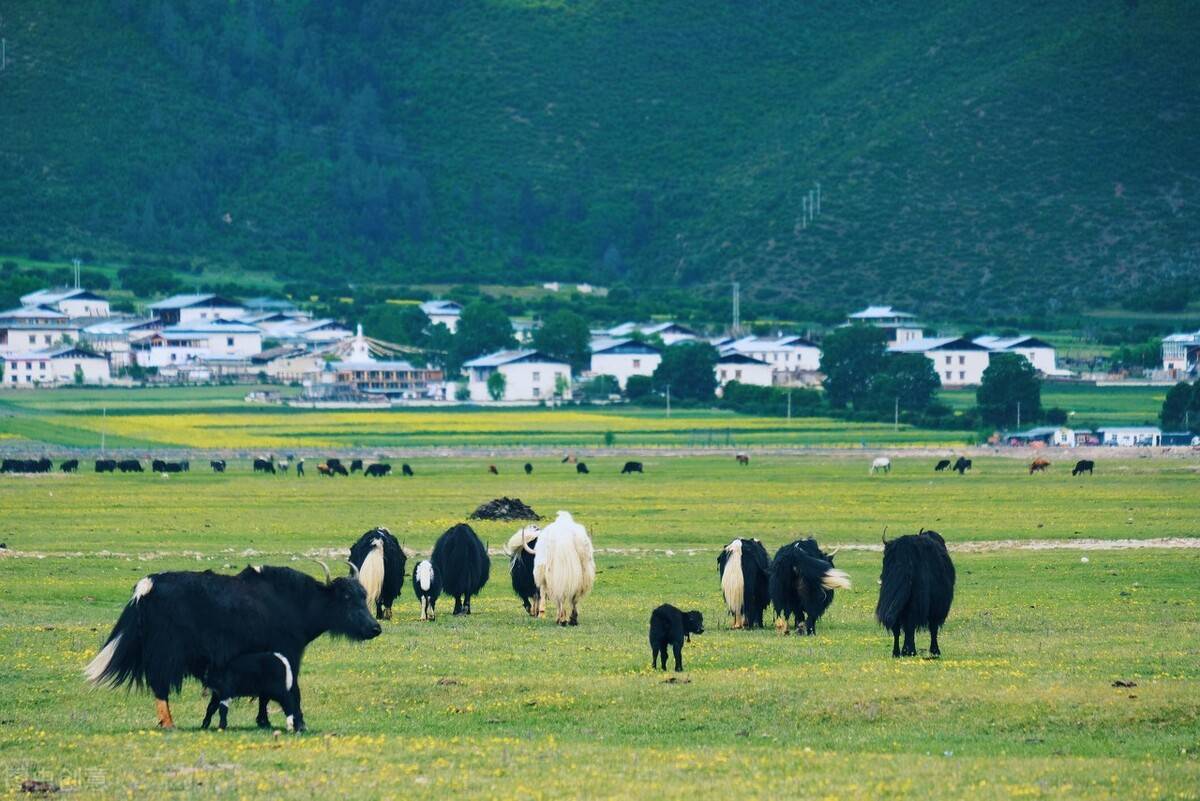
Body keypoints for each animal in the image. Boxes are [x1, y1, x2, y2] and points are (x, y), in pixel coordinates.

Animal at [86, 561, 379, 729]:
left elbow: (265, 692)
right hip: (166, 652)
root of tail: (146, 587)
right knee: (160, 685)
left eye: (363, 596)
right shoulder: (287, 653)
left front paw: (264, 721)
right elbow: (289, 687)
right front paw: (294, 721)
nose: (375, 628)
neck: (298, 603)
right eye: (346, 597)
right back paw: (169, 723)